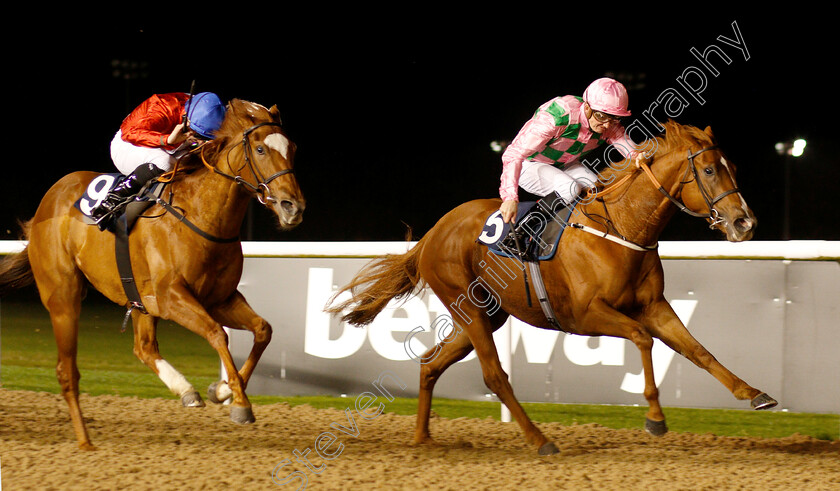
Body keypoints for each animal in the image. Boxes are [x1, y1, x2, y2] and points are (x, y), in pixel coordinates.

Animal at [0, 98, 306, 452]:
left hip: (139, 299)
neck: (202, 215)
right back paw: (85, 441)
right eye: (259, 149)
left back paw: (185, 390)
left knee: (144, 347)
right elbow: (218, 334)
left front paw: (222, 390)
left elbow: (262, 330)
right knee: (67, 370)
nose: (293, 206)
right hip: (64, 297)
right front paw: (240, 403)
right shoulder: (172, 296)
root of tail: (49, 199)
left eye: (292, 148)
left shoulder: (221, 298)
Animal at [332, 121, 776, 456]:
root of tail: (432, 234)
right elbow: (642, 338)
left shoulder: (653, 304)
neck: (620, 228)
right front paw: (655, 418)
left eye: (733, 166)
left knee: (430, 362)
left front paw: (754, 393)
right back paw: (540, 440)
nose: (745, 223)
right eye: (709, 171)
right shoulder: (585, 315)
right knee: (494, 376)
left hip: (488, 314)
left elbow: (698, 350)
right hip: (468, 308)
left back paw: (423, 437)